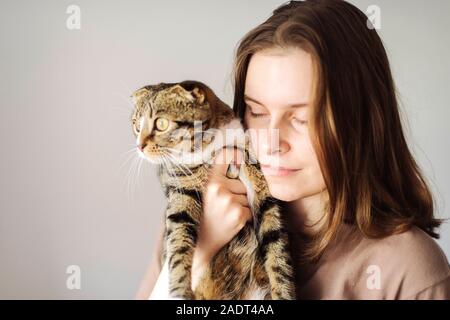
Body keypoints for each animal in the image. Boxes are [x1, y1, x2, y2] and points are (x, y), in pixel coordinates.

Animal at [130, 80, 296, 300]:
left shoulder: (258, 179)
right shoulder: (183, 187)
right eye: (136, 126)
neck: (213, 145)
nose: (139, 146)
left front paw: (284, 291)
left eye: (161, 124)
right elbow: (179, 243)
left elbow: (276, 244)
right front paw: (180, 289)